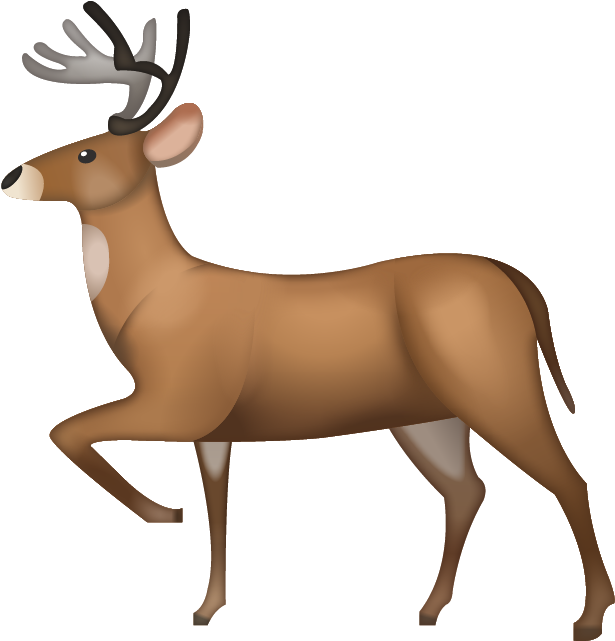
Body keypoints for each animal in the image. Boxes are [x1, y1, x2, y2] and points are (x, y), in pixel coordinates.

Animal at [2, 3, 613, 638]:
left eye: (88, 152)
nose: (12, 174)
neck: (155, 300)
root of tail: (509, 276)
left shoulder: (183, 399)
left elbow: (68, 430)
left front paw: (164, 514)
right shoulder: (213, 427)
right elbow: (218, 506)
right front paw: (207, 606)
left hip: (494, 380)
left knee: (567, 478)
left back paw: (590, 616)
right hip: (427, 414)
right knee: (468, 489)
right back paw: (430, 607)